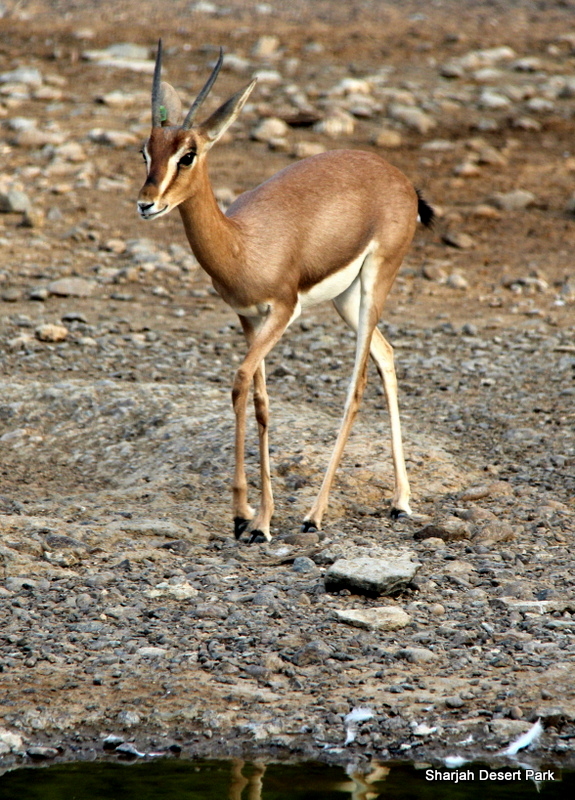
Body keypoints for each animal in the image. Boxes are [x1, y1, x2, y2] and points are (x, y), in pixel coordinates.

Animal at [137, 42, 434, 543]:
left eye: (188, 154)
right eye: (146, 150)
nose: (146, 203)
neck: (242, 243)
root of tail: (398, 176)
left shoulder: (282, 311)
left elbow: (239, 381)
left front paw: (246, 517)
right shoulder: (248, 317)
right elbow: (261, 403)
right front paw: (259, 518)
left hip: (375, 282)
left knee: (355, 388)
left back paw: (315, 515)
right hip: (346, 300)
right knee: (387, 354)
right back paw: (400, 502)